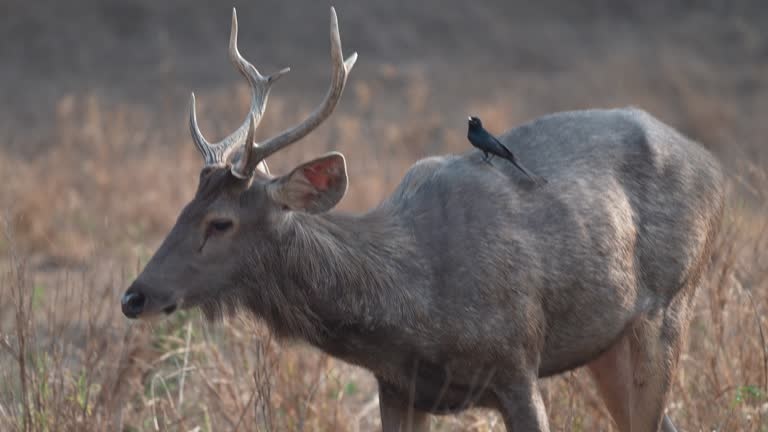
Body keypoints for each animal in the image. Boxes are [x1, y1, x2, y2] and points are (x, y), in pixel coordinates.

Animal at [120, 7, 728, 432]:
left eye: (221, 222)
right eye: (185, 206)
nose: (133, 296)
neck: (417, 307)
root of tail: (716, 169)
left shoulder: (518, 362)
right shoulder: (397, 386)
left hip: (671, 302)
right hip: (609, 341)